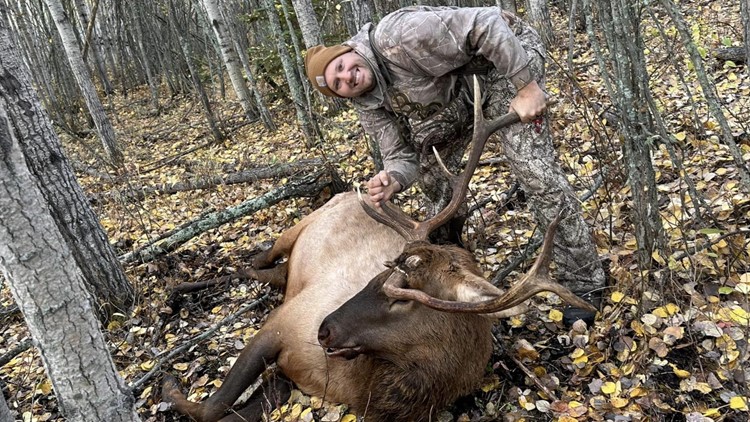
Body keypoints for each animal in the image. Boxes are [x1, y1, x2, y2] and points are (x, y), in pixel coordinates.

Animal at [162, 77, 596, 420]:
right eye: (382, 273)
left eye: (403, 298)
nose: (324, 329)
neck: (361, 388)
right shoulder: (281, 323)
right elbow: (211, 406)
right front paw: (167, 385)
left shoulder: (291, 376)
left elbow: (232, 409)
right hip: (298, 227)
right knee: (259, 258)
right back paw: (196, 281)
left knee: (273, 273)